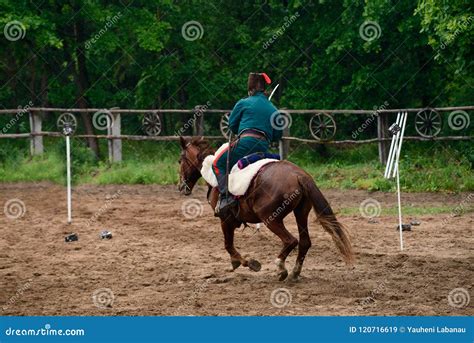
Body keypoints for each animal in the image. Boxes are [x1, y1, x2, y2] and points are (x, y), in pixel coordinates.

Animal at [178, 136, 352, 280]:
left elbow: (228, 244)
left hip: (270, 218)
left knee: (291, 241)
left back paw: (281, 268)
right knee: (304, 242)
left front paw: (244, 262)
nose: (181, 186)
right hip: (301, 213)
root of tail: (299, 175)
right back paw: (295, 272)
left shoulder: (225, 219)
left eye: (180, 160)